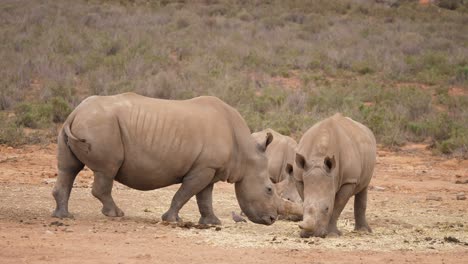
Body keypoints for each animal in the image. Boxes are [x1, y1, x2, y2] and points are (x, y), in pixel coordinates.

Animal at [52, 92, 278, 225]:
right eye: (269, 189)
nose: (272, 219)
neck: (246, 155)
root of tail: (75, 112)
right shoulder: (204, 168)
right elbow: (185, 193)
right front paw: (171, 220)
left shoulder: (209, 168)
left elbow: (204, 197)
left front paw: (212, 223)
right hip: (101, 125)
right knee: (107, 170)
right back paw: (116, 214)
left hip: (80, 124)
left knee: (68, 169)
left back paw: (63, 216)